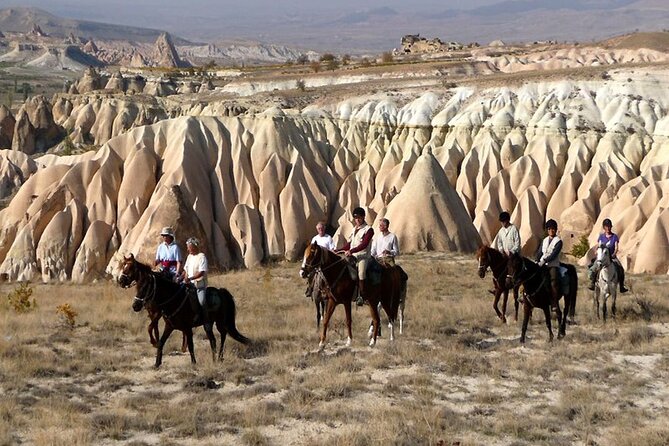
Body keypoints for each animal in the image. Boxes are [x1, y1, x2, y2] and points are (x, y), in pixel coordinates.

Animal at [116, 253, 249, 368]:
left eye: (145, 289)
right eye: (138, 288)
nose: (135, 306)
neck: (172, 298)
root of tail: (221, 291)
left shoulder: (186, 327)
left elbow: (190, 345)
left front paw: (193, 363)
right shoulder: (168, 325)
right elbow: (161, 340)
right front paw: (157, 362)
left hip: (220, 322)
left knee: (222, 335)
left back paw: (220, 358)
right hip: (209, 324)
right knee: (213, 340)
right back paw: (214, 359)